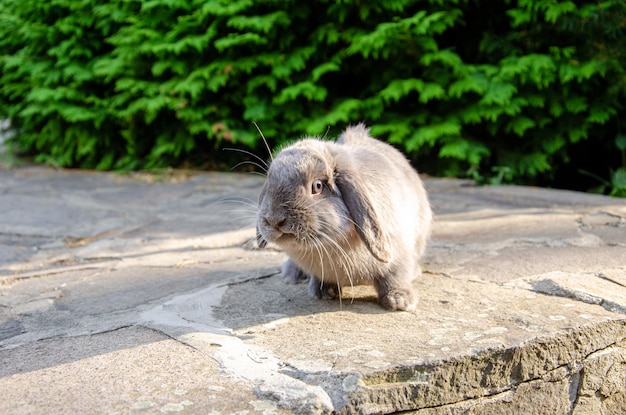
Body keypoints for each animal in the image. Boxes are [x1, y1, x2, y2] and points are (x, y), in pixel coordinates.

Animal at [255, 124, 428, 312]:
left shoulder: (398, 253)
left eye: (317, 186)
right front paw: (324, 291)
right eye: (270, 183)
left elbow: (394, 276)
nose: (274, 220)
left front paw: (400, 300)